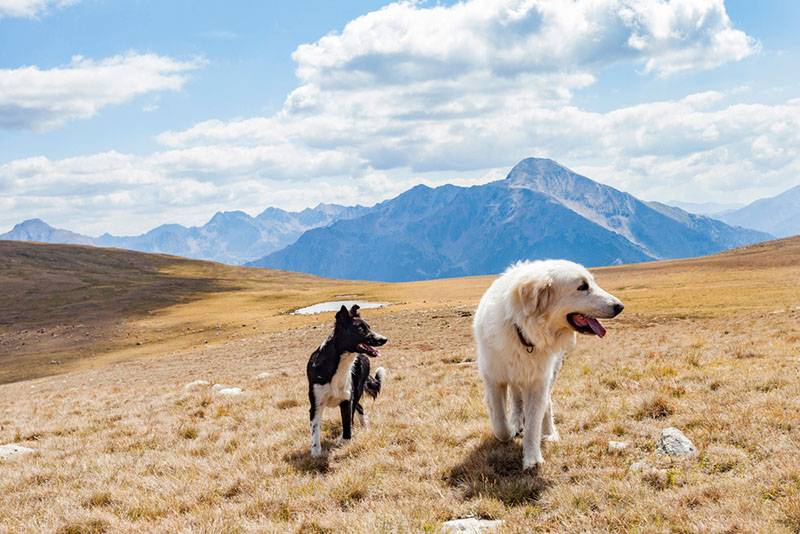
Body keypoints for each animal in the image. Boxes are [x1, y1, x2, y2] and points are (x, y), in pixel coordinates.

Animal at [306, 304, 388, 458]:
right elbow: (315, 428)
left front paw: (345, 441)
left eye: (369, 327)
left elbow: (347, 425)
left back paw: (363, 427)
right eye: (361, 329)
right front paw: (315, 451)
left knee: (357, 409)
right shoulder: (316, 403)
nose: (384, 339)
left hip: (356, 390)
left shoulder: (346, 400)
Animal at [476, 262, 624, 472]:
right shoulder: (494, 380)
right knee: (516, 399)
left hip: (551, 374)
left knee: (546, 404)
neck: (524, 333)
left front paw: (532, 459)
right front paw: (510, 430)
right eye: (583, 286)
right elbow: (500, 424)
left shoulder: (538, 382)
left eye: (592, 282)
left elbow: (533, 424)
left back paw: (549, 433)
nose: (620, 306)